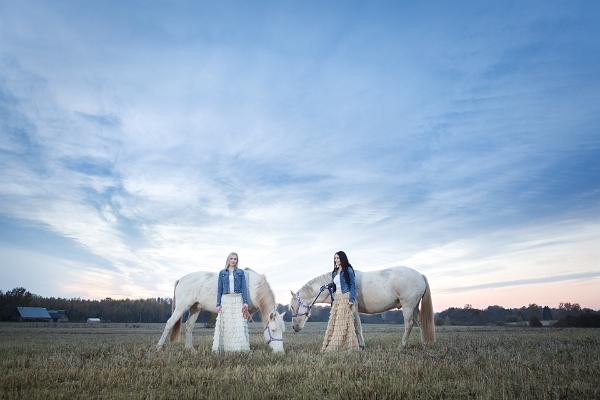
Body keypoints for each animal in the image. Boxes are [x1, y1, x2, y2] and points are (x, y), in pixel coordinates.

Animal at [290, 268, 434, 348]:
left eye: (291, 307)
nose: (295, 327)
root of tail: (420, 275)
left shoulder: (353, 308)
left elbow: (357, 327)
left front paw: (361, 345)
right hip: (414, 307)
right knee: (421, 323)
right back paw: (425, 344)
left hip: (408, 306)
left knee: (409, 325)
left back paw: (402, 346)